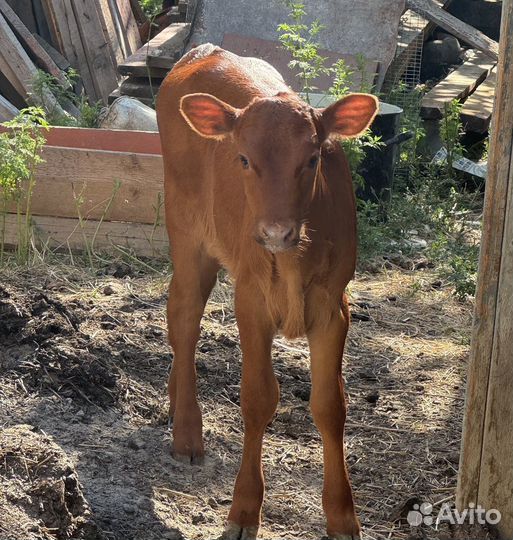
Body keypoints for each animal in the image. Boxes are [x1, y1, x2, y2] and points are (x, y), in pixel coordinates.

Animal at [156, 44, 376, 536]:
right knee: (183, 321)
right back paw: (187, 432)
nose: (276, 231)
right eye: (242, 158)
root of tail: (204, 51)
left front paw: (342, 515)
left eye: (313, 158)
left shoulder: (333, 306)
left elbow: (330, 405)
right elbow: (258, 399)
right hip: (186, 234)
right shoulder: (250, 300)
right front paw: (243, 509)